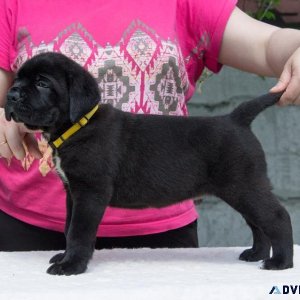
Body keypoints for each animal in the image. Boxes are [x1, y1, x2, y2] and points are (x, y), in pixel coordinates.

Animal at [5, 52, 292, 274]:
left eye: (42, 83)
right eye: (17, 79)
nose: (11, 94)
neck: (79, 126)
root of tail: (236, 118)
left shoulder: (90, 192)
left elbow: (78, 230)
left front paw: (71, 265)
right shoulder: (72, 193)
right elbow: (68, 227)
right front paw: (65, 257)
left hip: (244, 186)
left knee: (277, 217)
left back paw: (280, 262)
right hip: (241, 190)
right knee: (258, 223)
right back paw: (256, 254)